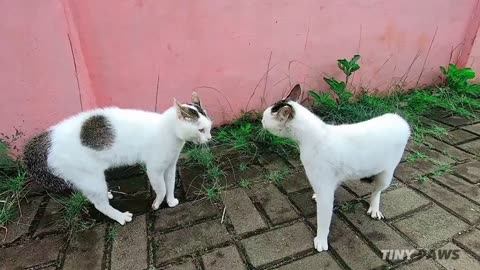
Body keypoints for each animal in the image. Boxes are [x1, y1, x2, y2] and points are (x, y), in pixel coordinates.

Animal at [23, 93, 212, 226]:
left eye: (209, 128)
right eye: (201, 130)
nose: (210, 138)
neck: (170, 132)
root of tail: (49, 137)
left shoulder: (170, 166)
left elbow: (170, 185)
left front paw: (171, 201)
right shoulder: (154, 169)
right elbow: (162, 189)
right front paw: (157, 204)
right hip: (91, 177)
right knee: (100, 205)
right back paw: (121, 217)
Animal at [260, 84, 410, 251]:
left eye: (264, 118)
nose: (260, 121)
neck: (312, 137)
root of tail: (399, 119)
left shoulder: (324, 187)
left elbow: (324, 218)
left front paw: (321, 240)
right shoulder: (327, 181)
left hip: (386, 174)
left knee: (377, 190)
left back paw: (374, 208)